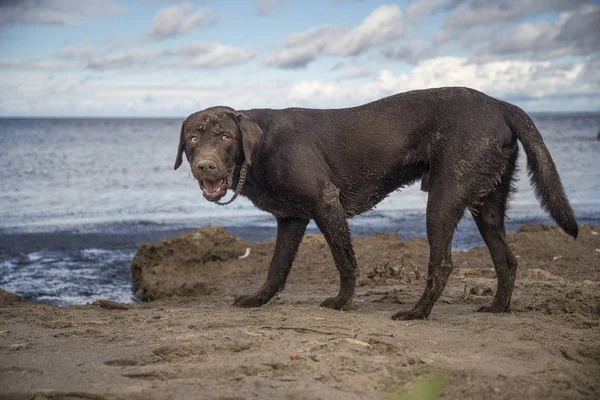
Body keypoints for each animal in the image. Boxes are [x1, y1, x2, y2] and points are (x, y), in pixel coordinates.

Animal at [172, 86, 576, 318]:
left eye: (225, 136)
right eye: (192, 138)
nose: (204, 165)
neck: (259, 148)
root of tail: (500, 103)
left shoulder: (326, 203)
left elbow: (345, 262)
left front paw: (342, 303)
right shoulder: (290, 219)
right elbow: (276, 269)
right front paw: (259, 300)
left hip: (443, 199)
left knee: (442, 263)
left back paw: (417, 312)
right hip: (487, 206)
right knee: (507, 260)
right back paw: (497, 308)